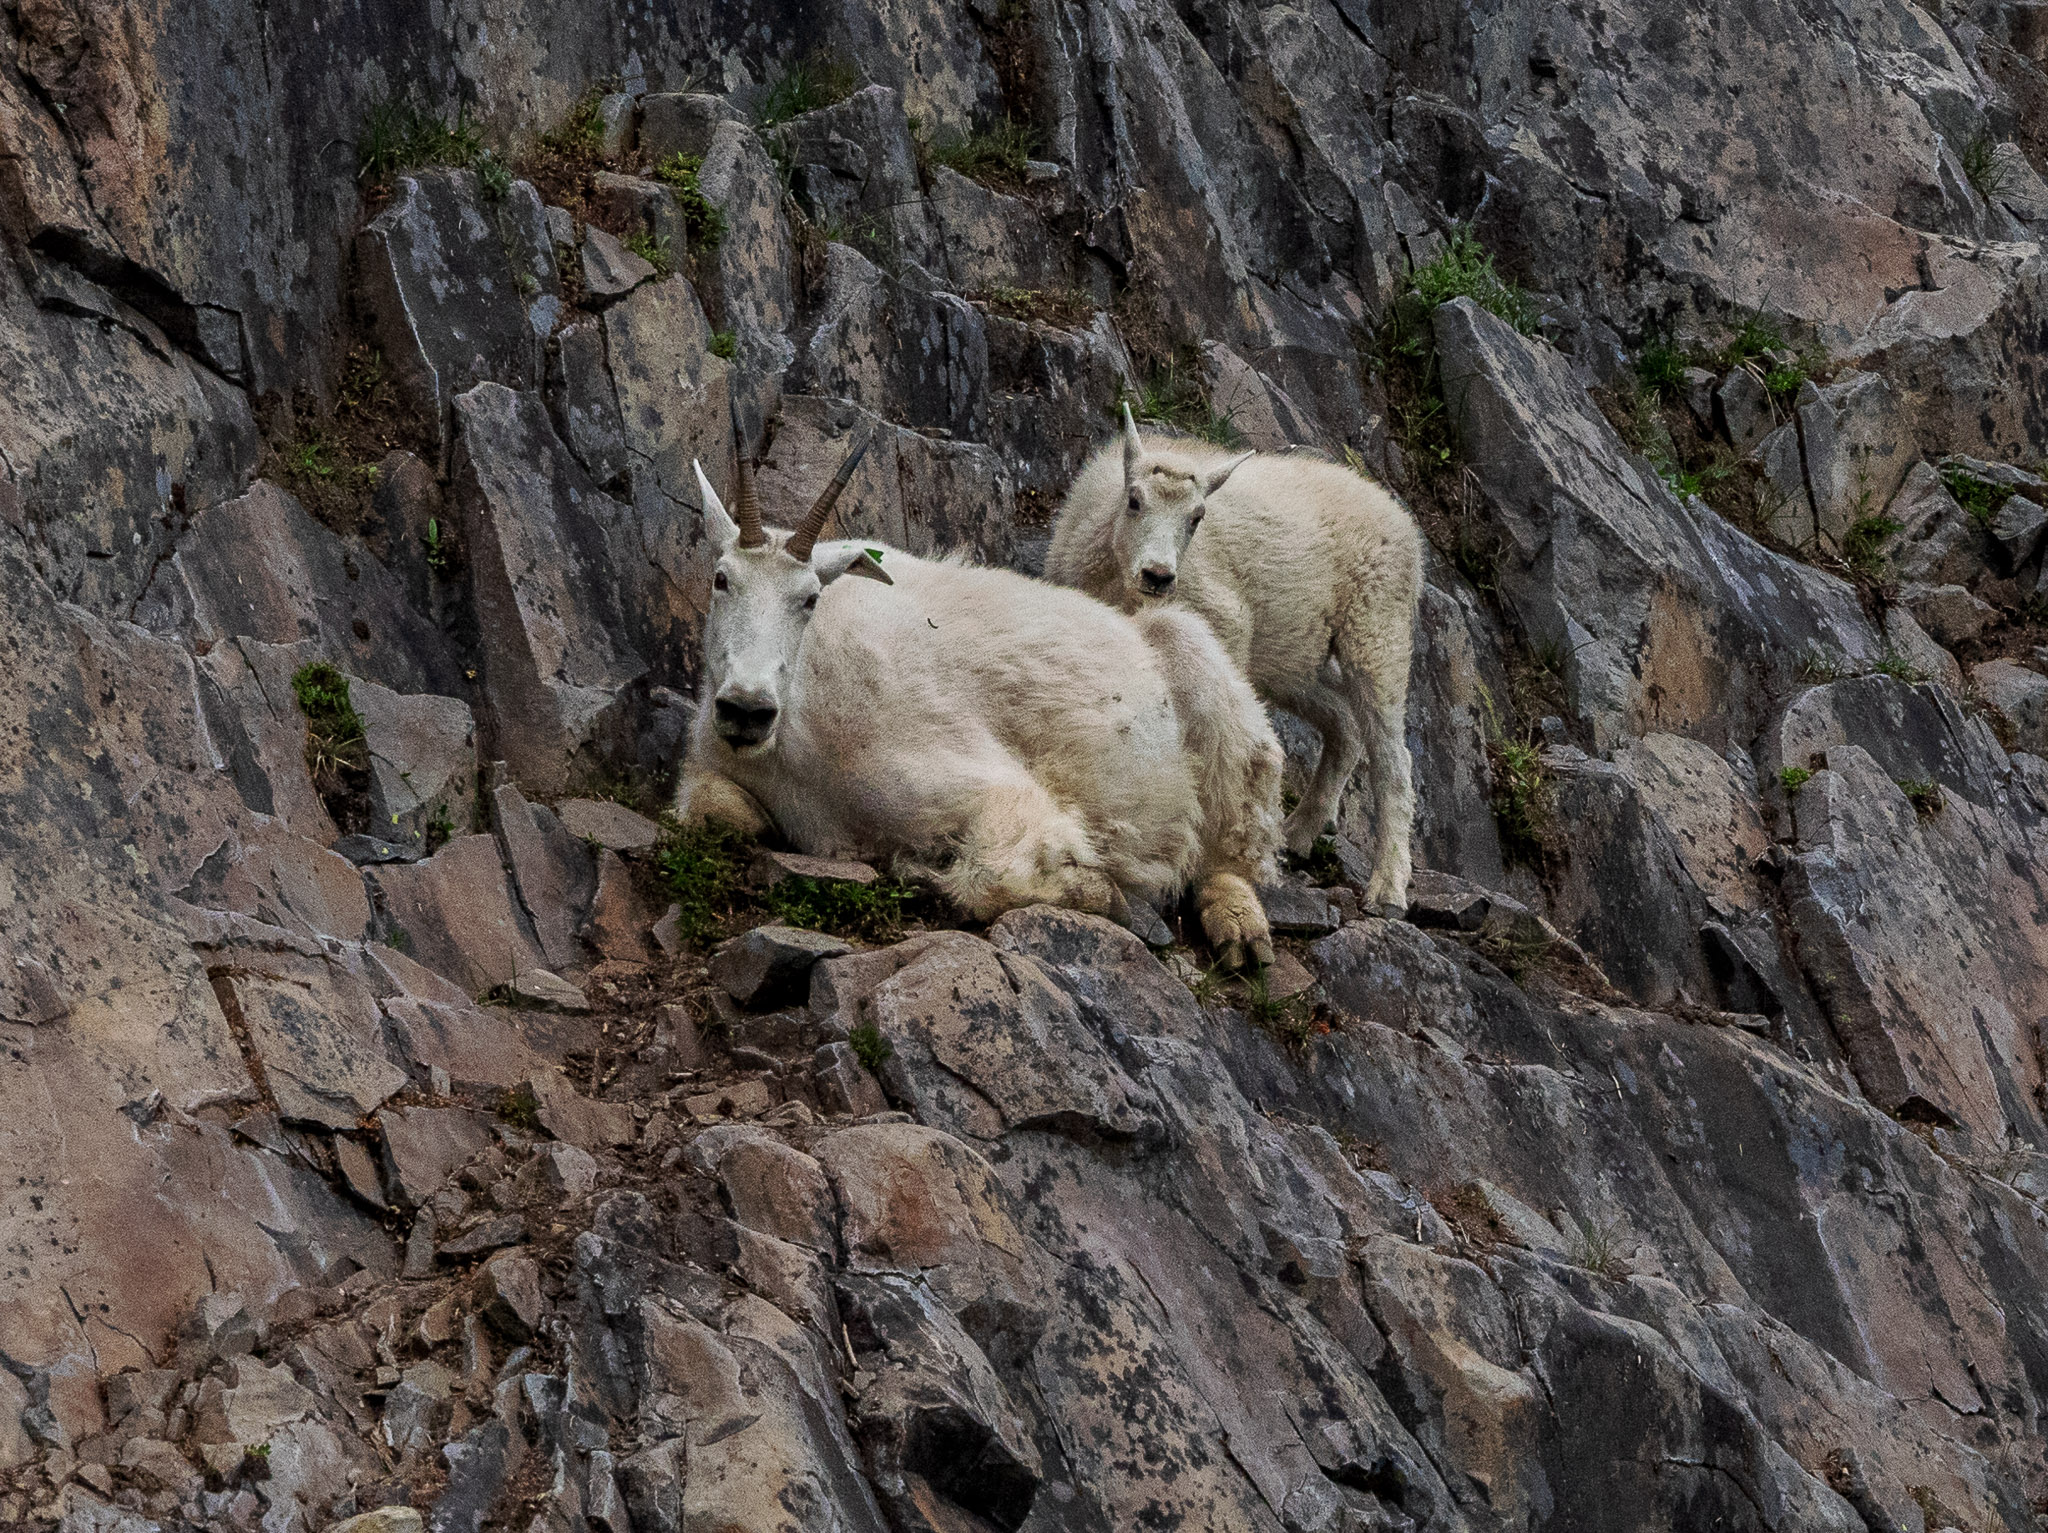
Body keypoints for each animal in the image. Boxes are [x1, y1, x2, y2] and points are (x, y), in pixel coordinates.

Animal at [671, 423, 1277, 961]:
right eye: (721, 579)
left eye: (810, 598)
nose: (746, 708)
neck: (792, 737)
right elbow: (710, 809)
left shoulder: (985, 785)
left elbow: (989, 877)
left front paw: (1102, 891)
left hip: (1200, 668)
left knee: (1234, 833)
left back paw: (1239, 928)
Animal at [1048, 403, 1417, 908]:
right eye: (1134, 500)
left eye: (1197, 517)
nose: (1158, 576)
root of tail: (1400, 516)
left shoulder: (1225, 624)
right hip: (1291, 655)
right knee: (1343, 722)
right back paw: (1298, 834)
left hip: (1378, 630)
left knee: (1392, 757)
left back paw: (1388, 886)